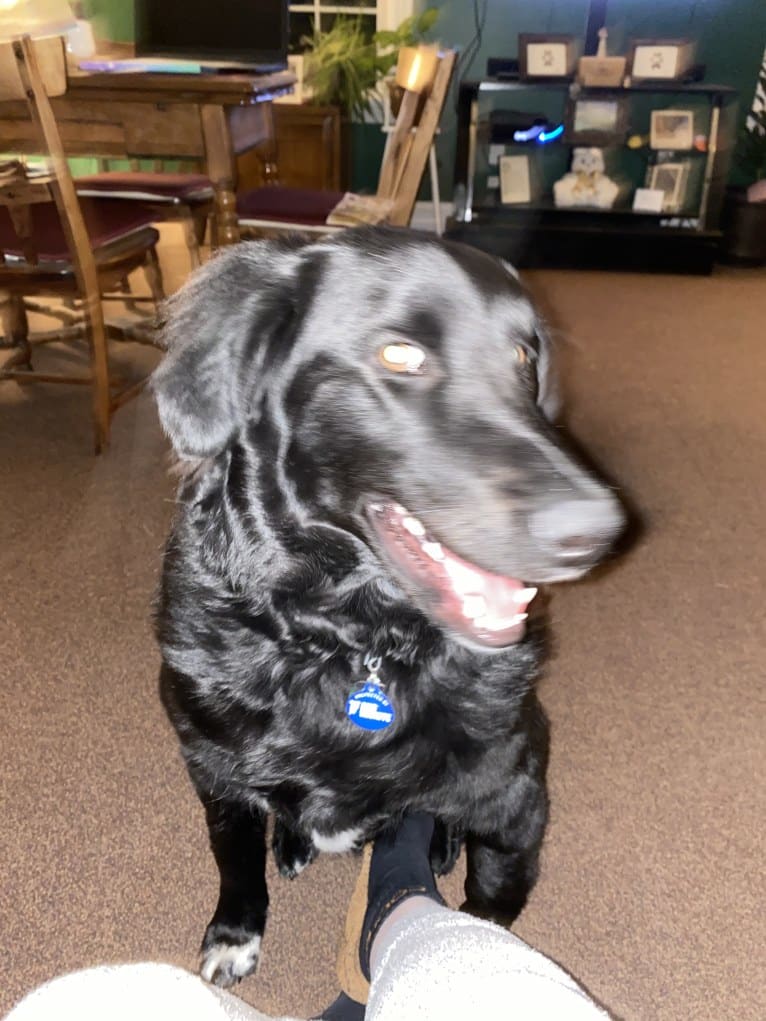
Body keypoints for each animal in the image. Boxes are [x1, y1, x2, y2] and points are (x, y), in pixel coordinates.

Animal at [153, 225, 625, 988]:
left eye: (524, 358)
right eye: (399, 354)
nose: (597, 529)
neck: (352, 644)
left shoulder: (515, 801)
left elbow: (488, 908)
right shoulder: (214, 773)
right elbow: (234, 859)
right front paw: (234, 932)